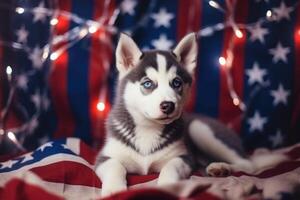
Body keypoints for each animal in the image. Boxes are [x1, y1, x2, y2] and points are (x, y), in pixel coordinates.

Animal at [94, 33, 260, 197]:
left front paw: (169, 187)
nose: (168, 105)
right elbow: (115, 166)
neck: (148, 127)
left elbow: (170, 167)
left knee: (249, 165)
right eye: (147, 83)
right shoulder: (104, 157)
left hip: (198, 128)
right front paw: (114, 190)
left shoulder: (184, 157)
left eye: (176, 83)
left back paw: (221, 167)